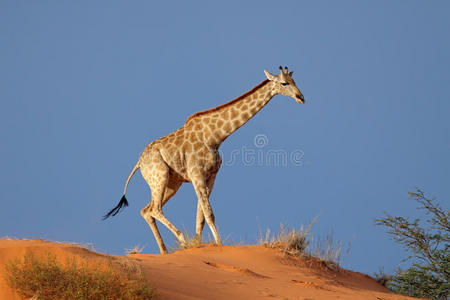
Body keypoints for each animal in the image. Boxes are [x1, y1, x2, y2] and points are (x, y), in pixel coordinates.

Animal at [103, 67, 304, 254]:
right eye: (284, 83)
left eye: (294, 80)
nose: (301, 97)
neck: (214, 136)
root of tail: (139, 163)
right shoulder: (196, 174)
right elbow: (209, 213)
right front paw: (218, 245)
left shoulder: (211, 176)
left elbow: (200, 216)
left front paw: (199, 245)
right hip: (159, 176)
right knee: (154, 209)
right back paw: (182, 240)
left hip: (172, 183)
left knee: (146, 210)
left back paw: (164, 251)